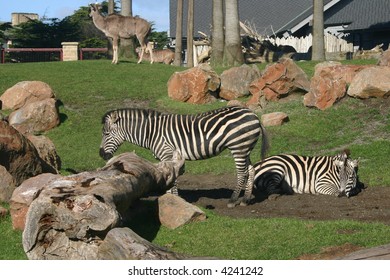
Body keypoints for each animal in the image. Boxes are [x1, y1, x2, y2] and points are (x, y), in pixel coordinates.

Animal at [99, 106, 270, 207]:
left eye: (106, 133)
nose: (101, 154)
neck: (151, 132)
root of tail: (253, 114)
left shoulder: (167, 153)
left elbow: (173, 179)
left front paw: (175, 201)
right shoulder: (166, 158)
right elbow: (168, 178)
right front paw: (170, 200)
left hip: (238, 147)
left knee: (242, 173)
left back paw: (233, 200)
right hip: (245, 148)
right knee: (251, 170)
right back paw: (246, 200)